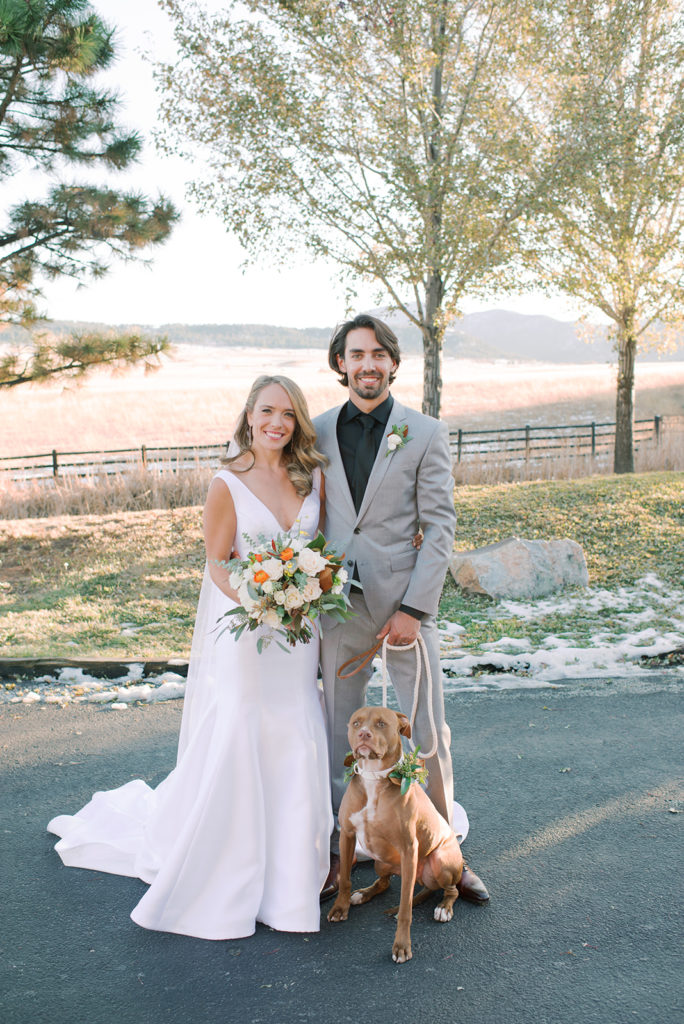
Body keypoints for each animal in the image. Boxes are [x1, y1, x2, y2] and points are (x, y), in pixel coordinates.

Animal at [327, 704, 464, 958]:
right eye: (356, 723)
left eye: (381, 724)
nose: (364, 735)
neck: (374, 777)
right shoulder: (347, 835)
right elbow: (345, 879)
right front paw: (340, 907)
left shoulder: (409, 849)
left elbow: (405, 907)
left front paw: (402, 945)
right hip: (381, 862)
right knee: (385, 883)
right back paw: (363, 894)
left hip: (440, 861)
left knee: (452, 890)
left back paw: (443, 908)